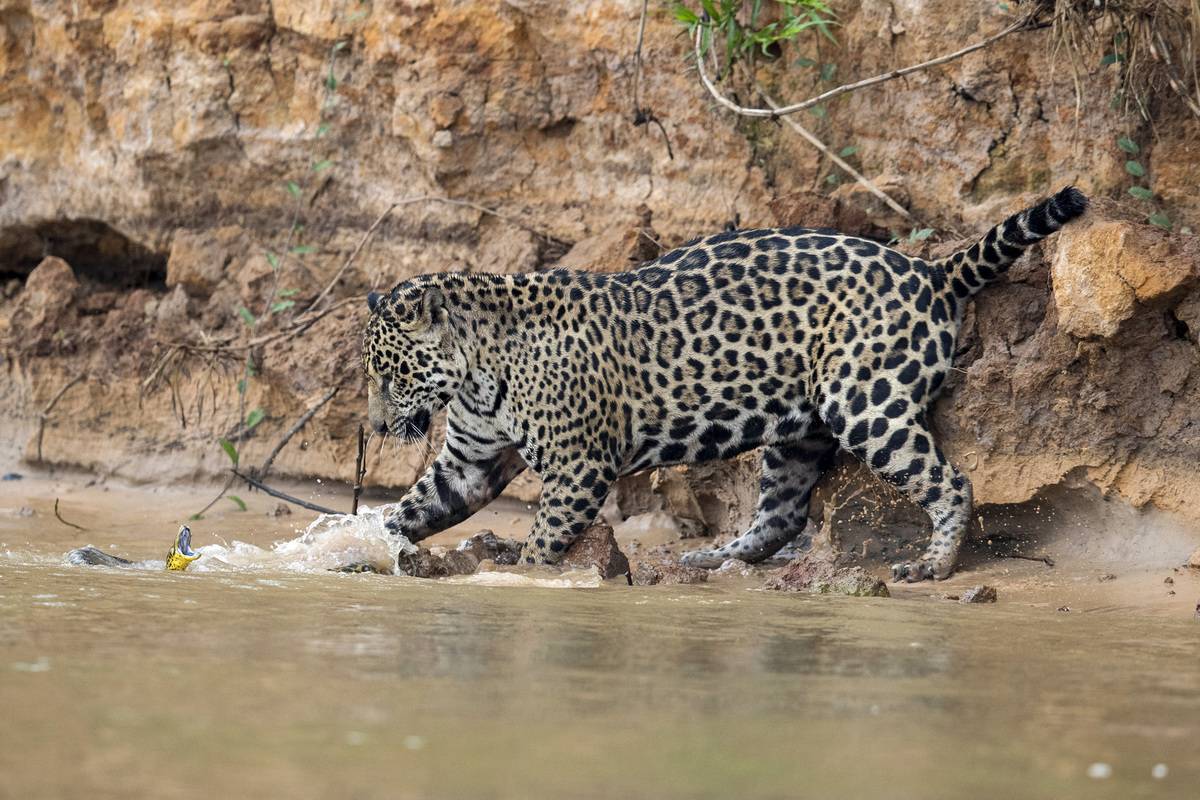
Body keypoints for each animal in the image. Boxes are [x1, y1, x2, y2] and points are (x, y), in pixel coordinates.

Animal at [361, 187, 1088, 582]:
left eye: (389, 375)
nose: (373, 426)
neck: (476, 369)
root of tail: (929, 270)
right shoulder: (471, 460)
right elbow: (416, 506)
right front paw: (375, 542)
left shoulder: (578, 466)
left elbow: (543, 540)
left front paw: (521, 574)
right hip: (799, 430)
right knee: (782, 513)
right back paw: (714, 560)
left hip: (866, 404)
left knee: (951, 482)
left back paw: (933, 564)